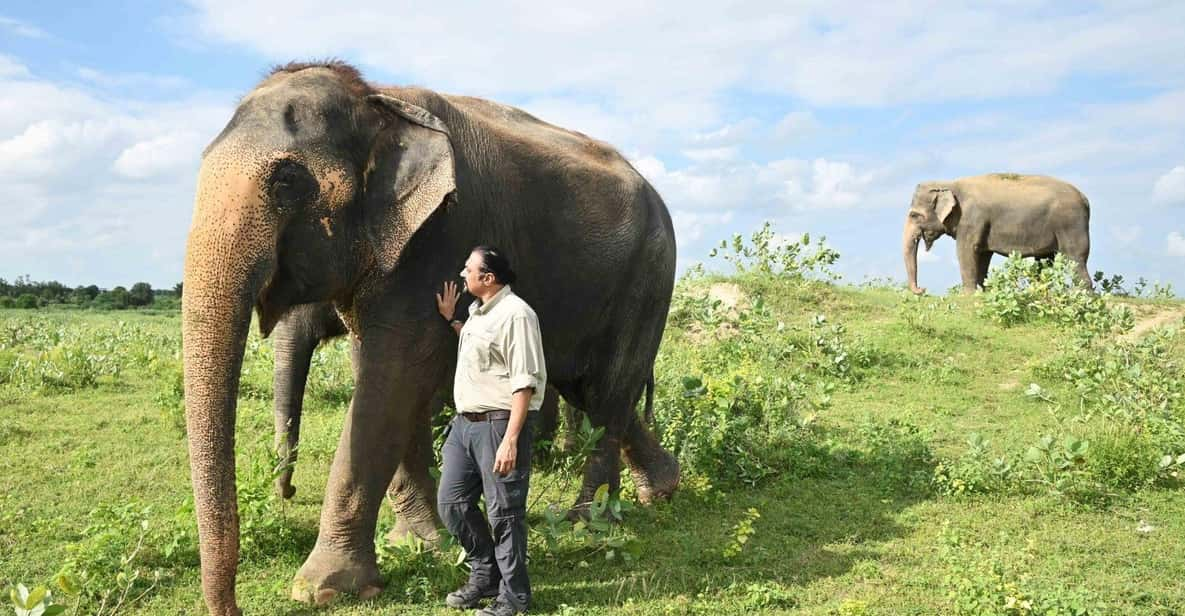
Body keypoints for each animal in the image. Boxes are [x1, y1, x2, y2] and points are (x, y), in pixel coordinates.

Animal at [178, 58, 673, 616]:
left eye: (287, 181)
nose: (233, 608)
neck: (377, 99)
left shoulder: (441, 237)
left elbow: (394, 375)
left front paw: (323, 588)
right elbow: (387, 378)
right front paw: (418, 543)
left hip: (649, 278)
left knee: (609, 391)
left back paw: (588, 522)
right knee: (588, 388)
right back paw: (661, 489)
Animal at [905, 171, 1090, 294]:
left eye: (914, 215)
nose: (922, 289)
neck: (949, 184)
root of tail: (1085, 199)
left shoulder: (971, 219)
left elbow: (966, 251)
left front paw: (967, 296)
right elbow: (983, 255)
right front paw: (983, 292)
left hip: (1071, 224)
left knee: (1076, 260)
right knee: (1044, 261)